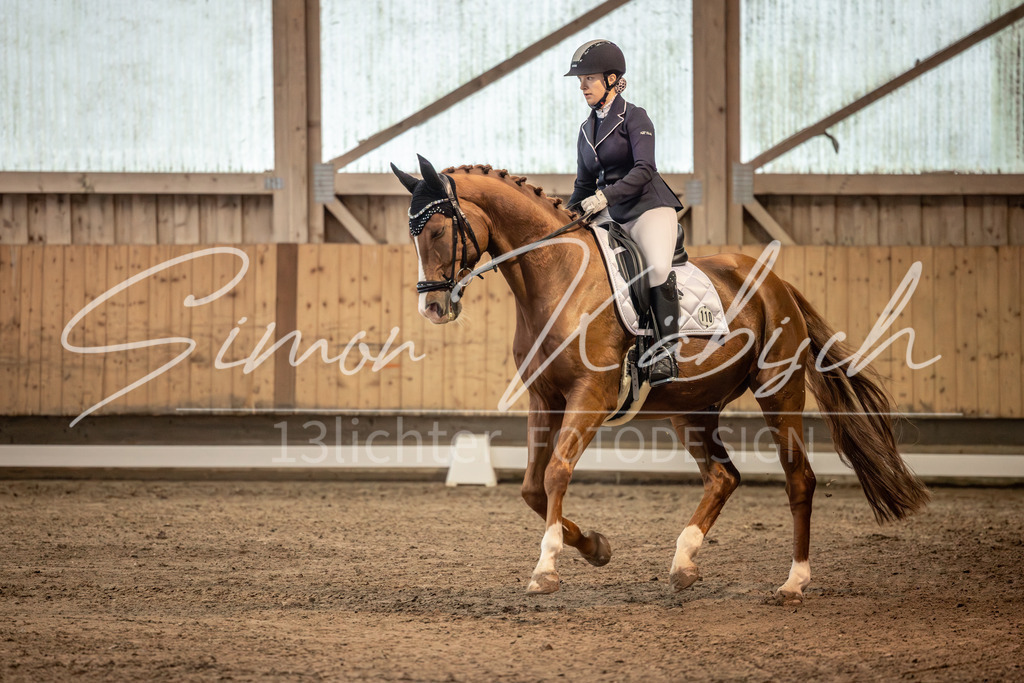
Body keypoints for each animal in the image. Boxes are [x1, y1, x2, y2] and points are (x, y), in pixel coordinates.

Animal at [391, 155, 929, 604]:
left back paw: (794, 582)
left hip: (778, 392)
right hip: (691, 409)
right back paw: (684, 563)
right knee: (723, 477)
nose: (433, 307)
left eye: (436, 230)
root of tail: (775, 283)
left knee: (799, 477)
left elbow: (556, 473)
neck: (559, 275)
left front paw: (546, 569)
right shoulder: (545, 397)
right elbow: (531, 488)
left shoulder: (590, 396)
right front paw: (596, 547)